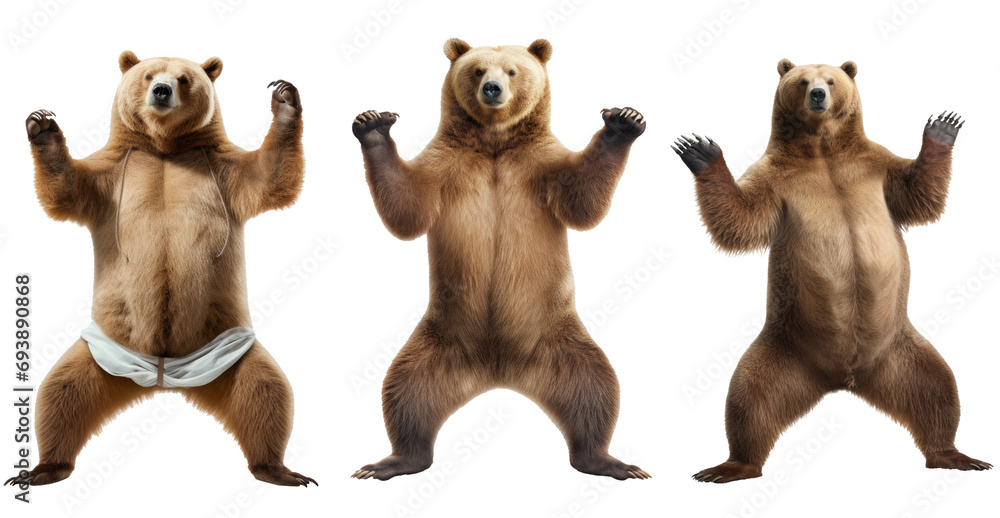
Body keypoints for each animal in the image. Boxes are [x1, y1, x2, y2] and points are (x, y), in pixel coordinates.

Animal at [4, 51, 314, 487]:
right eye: (149, 75)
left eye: (184, 78)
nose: (162, 91)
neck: (165, 148)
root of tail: (163, 379)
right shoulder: (109, 178)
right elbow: (67, 189)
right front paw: (42, 124)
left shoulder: (225, 172)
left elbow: (270, 176)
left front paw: (285, 98)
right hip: (100, 351)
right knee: (62, 394)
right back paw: (44, 468)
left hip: (232, 351)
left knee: (265, 392)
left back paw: (278, 469)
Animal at [350, 38, 649, 481]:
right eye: (477, 70)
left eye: (511, 70)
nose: (492, 89)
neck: (495, 142)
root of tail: (499, 370)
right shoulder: (445, 163)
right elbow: (409, 207)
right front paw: (372, 124)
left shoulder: (541, 164)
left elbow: (582, 200)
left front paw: (623, 121)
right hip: (438, 342)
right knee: (406, 390)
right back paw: (393, 461)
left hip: (559, 339)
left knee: (595, 387)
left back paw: (608, 460)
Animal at [673, 59, 992, 483]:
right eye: (802, 81)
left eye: (831, 79)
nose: (818, 95)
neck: (822, 149)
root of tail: (843, 378)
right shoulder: (776, 180)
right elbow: (742, 216)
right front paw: (700, 151)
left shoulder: (876, 167)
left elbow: (917, 191)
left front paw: (942, 126)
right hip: (782, 347)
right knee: (749, 398)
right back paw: (731, 465)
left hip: (900, 350)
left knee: (937, 389)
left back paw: (954, 454)